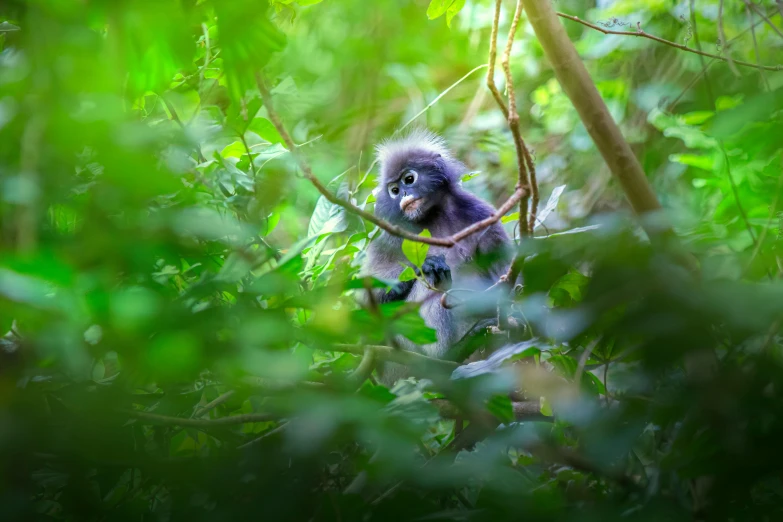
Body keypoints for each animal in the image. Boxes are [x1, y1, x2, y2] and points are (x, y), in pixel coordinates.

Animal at [360, 129, 516, 382]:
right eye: (394, 191)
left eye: (409, 179)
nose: (403, 195)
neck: (432, 214)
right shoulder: (390, 232)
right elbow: (366, 299)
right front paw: (426, 264)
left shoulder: (482, 213)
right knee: (435, 281)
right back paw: (449, 353)